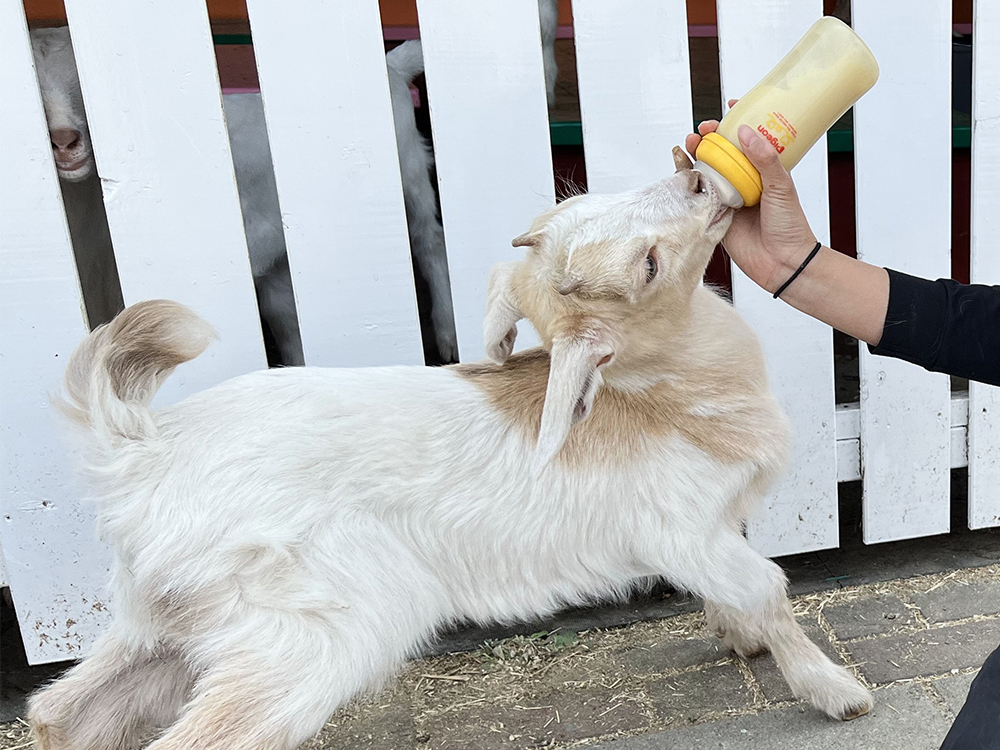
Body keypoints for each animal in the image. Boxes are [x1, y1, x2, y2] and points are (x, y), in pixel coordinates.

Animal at [29, 151, 876, 750]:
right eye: (649, 267)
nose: (700, 177)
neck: (663, 395)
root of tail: (141, 451)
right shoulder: (683, 529)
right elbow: (768, 586)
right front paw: (832, 691)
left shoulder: (710, 532)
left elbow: (738, 592)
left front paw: (741, 640)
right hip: (310, 630)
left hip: (162, 619)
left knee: (60, 714)